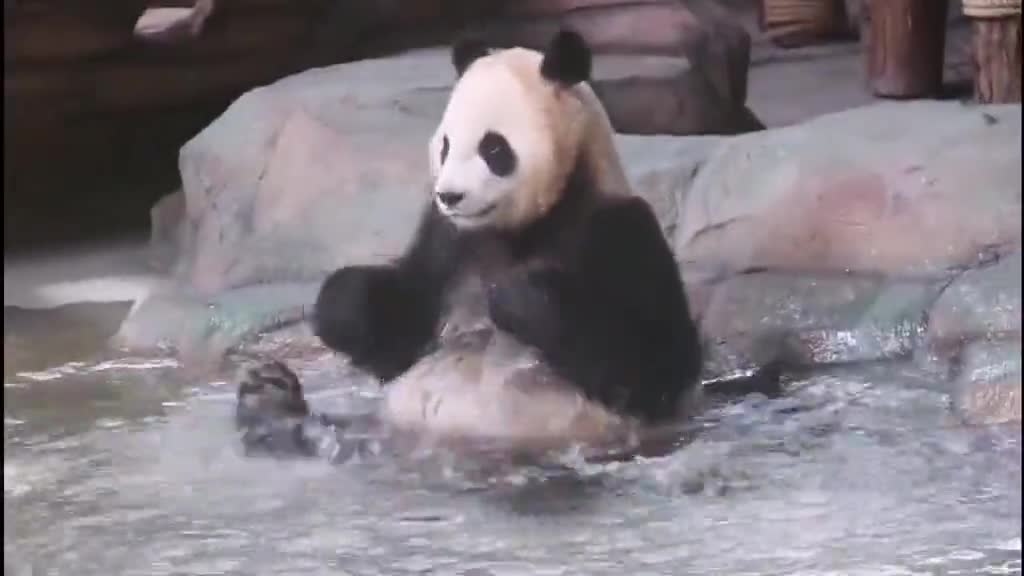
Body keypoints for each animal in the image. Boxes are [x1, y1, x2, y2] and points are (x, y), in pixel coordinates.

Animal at [235, 29, 708, 455]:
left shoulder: (615, 229)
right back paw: (268, 397)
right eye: (445, 145)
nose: (450, 195)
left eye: (494, 148)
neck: (522, 227)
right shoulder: (449, 241)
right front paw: (342, 304)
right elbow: (401, 327)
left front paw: (521, 295)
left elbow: (656, 360)